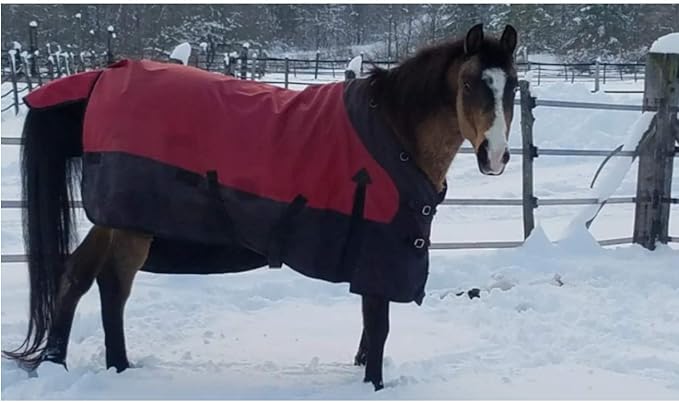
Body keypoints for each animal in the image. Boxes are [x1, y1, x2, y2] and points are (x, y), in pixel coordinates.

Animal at [3, 23, 517, 391]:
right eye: (469, 83)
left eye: (512, 86)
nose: (494, 156)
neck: (393, 130)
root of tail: (101, 75)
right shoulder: (379, 248)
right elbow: (379, 322)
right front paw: (373, 384)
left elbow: (370, 324)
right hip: (132, 227)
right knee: (112, 287)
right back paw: (120, 368)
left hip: (115, 218)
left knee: (74, 275)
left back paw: (57, 362)